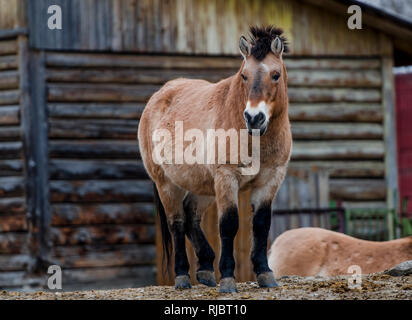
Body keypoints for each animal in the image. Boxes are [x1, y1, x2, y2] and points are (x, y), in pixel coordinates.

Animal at [137, 26, 292, 292]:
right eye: (244, 76)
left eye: (275, 75)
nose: (254, 118)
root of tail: (158, 97)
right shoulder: (226, 177)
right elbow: (228, 224)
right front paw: (228, 279)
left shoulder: (270, 180)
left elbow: (261, 225)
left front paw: (265, 274)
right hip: (167, 184)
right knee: (177, 223)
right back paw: (182, 276)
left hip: (203, 187)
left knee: (191, 216)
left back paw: (206, 269)